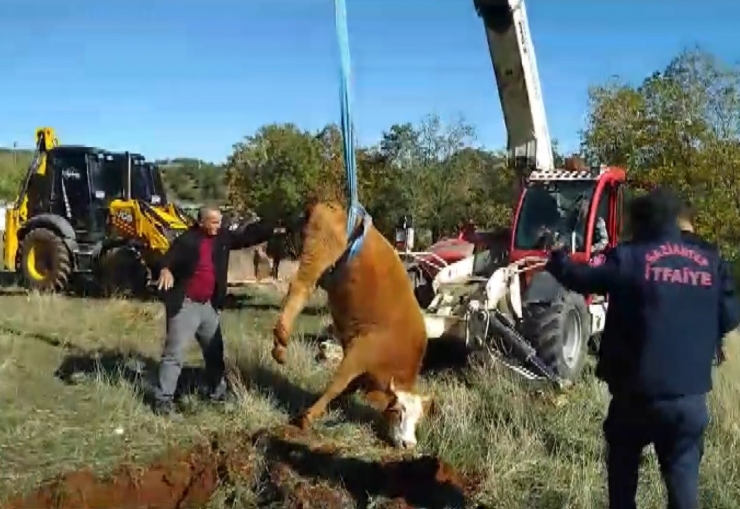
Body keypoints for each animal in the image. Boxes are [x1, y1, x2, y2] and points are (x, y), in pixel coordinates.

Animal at [272, 200, 434, 446]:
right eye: (399, 411)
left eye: (418, 419)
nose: (409, 444)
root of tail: (334, 207)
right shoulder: (360, 352)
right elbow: (336, 384)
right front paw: (307, 417)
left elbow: (347, 388)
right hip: (318, 253)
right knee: (300, 288)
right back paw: (281, 341)